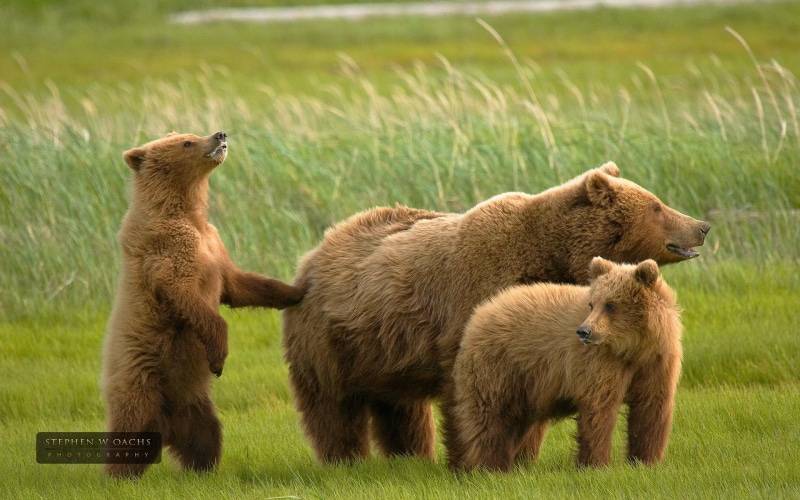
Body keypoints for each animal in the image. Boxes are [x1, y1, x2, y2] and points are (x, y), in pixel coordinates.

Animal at [102, 131, 305, 479]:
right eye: (186, 142)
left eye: (191, 134)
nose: (219, 134)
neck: (186, 212)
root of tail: (166, 426)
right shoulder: (168, 251)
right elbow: (187, 296)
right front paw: (219, 356)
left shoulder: (214, 245)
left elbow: (239, 285)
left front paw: (297, 290)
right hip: (140, 382)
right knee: (130, 430)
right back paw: (118, 476)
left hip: (193, 403)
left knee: (206, 434)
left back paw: (202, 468)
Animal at [446, 257, 682, 471]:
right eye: (592, 304)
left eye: (611, 305)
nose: (584, 331)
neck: (633, 348)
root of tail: (480, 313)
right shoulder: (600, 363)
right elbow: (599, 409)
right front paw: (597, 464)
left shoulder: (657, 362)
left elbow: (651, 409)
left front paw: (645, 461)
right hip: (499, 367)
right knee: (491, 417)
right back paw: (493, 466)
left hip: (528, 387)